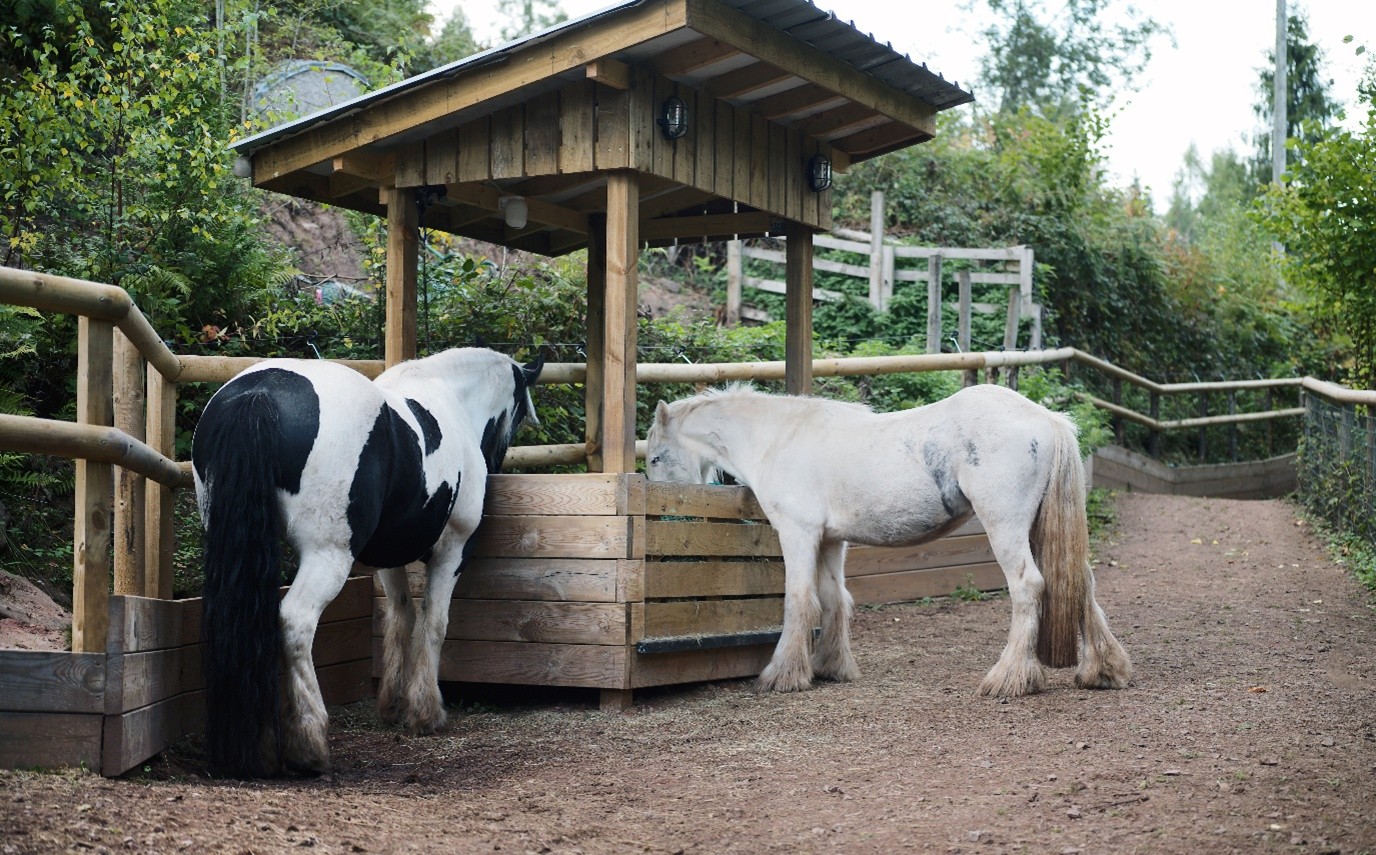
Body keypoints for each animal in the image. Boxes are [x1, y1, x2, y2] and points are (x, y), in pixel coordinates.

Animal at [192, 347, 543, 778]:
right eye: (518, 415)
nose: (495, 461)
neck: (450, 398)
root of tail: (259, 392)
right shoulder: (454, 548)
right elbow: (435, 621)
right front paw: (426, 712)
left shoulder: (388, 555)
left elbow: (401, 615)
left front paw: (393, 704)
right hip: (327, 555)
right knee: (294, 622)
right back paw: (309, 743)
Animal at [645, 382, 1131, 698]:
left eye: (653, 457)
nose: (665, 510)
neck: (779, 437)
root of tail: (1045, 420)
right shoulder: (830, 541)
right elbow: (834, 599)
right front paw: (830, 667)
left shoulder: (798, 533)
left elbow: (799, 601)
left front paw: (782, 675)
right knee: (1080, 583)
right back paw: (1103, 670)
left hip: (1005, 526)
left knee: (1028, 587)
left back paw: (1008, 679)